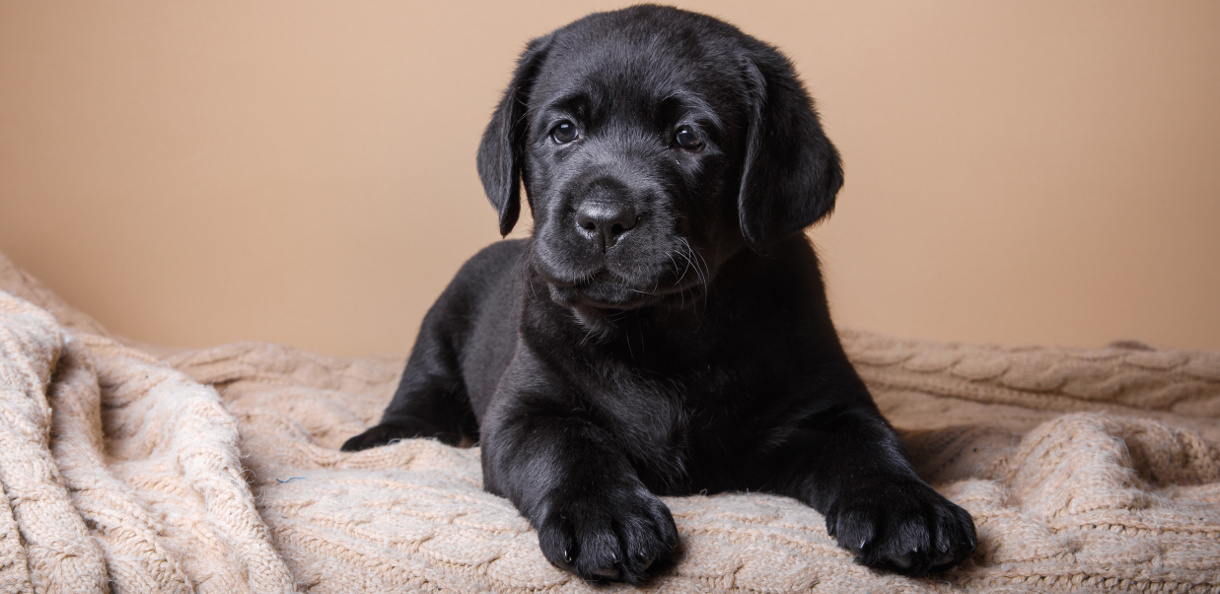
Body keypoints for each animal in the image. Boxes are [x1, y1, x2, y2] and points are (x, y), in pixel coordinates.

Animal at [348, 5, 976, 585]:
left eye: (688, 137)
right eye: (563, 131)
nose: (603, 218)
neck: (658, 332)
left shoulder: (826, 405)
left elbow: (868, 442)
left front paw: (906, 504)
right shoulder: (524, 411)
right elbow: (568, 445)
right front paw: (606, 517)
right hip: (440, 325)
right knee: (420, 391)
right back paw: (382, 438)